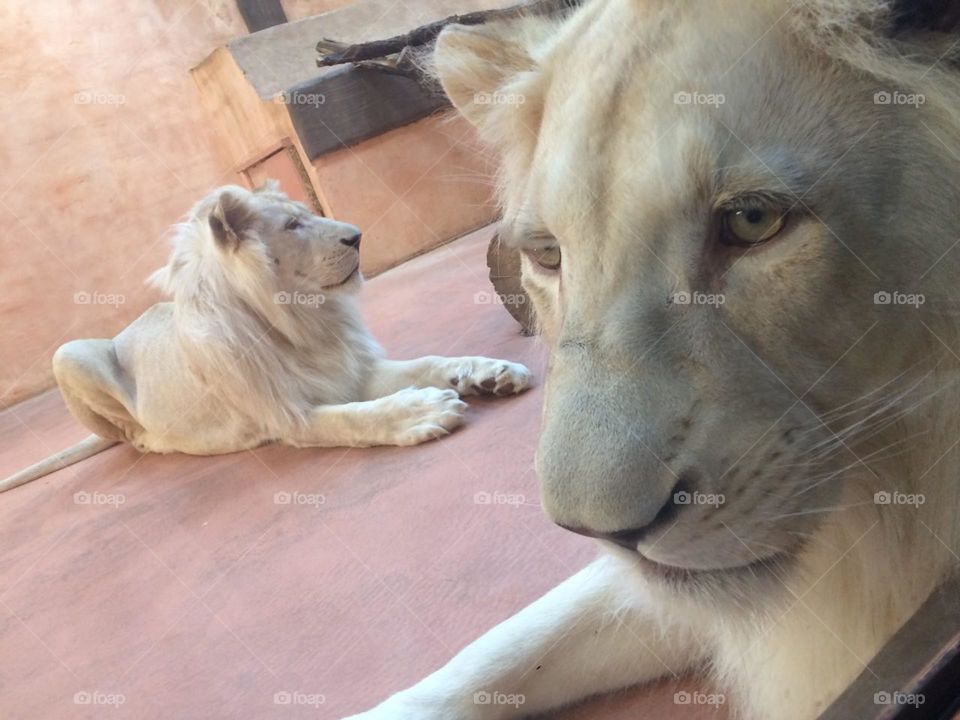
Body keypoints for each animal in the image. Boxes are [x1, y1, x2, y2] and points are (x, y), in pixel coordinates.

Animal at [1, 182, 531, 492]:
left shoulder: (351, 371)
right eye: (293, 225)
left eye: (304, 214)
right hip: (68, 354)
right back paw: (159, 440)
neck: (301, 320)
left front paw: (489, 372)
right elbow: (357, 418)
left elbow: (429, 361)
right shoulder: (288, 416)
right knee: (131, 434)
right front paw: (421, 412)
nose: (358, 235)